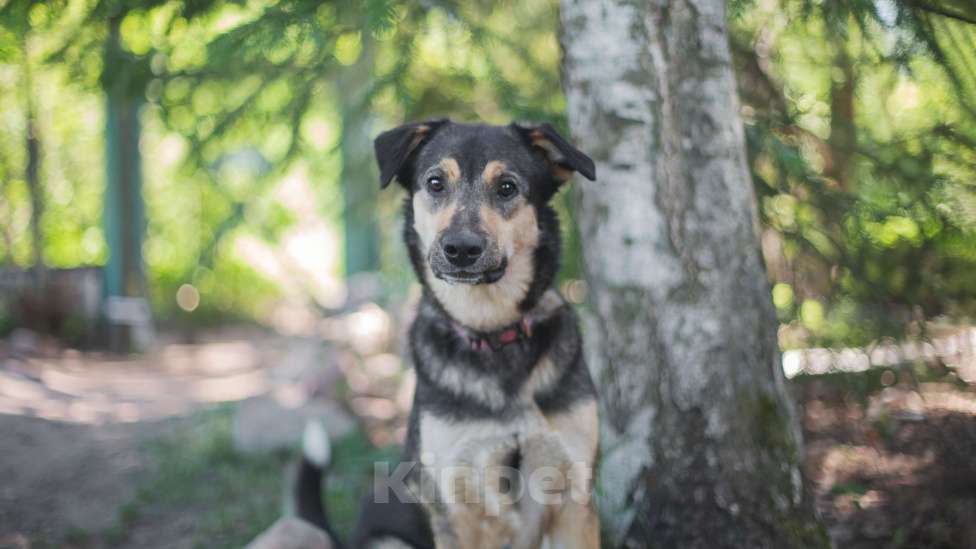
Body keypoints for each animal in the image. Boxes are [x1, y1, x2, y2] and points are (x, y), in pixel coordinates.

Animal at [298, 120, 600, 548]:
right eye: (436, 182)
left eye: (507, 187)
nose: (461, 248)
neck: (492, 332)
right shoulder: (457, 509)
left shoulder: (574, 498)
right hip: (387, 539)